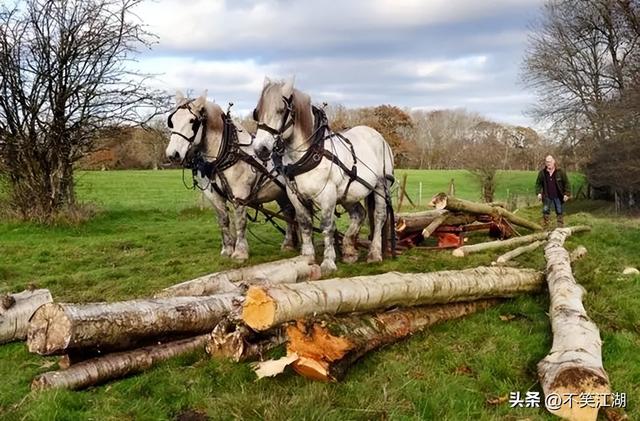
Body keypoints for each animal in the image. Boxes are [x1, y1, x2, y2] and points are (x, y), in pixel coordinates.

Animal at [165, 92, 296, 260]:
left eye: (192, 121)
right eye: (172, 121)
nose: (172, 154)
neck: (224, 155)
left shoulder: (239, 194)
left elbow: (240, 221)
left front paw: (240, 252)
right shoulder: (214, 196)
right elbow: (223, 220)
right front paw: (227, 249)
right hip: (281, 193)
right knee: (289, 212)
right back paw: (290, 243)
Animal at [251, 76, 392, 272]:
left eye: (281, 110)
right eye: (257, 113)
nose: (260, 149)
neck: (307, 154)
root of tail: (376, 134)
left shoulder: (327, 195)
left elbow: (327, 226)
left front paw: (328, 261)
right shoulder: (296, 196)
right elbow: (305, 224)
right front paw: (308, 257)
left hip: (380, 185)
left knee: (379, 217)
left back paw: (375, 253)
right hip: (349, 193)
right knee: (359, 214)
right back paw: (349, 251)